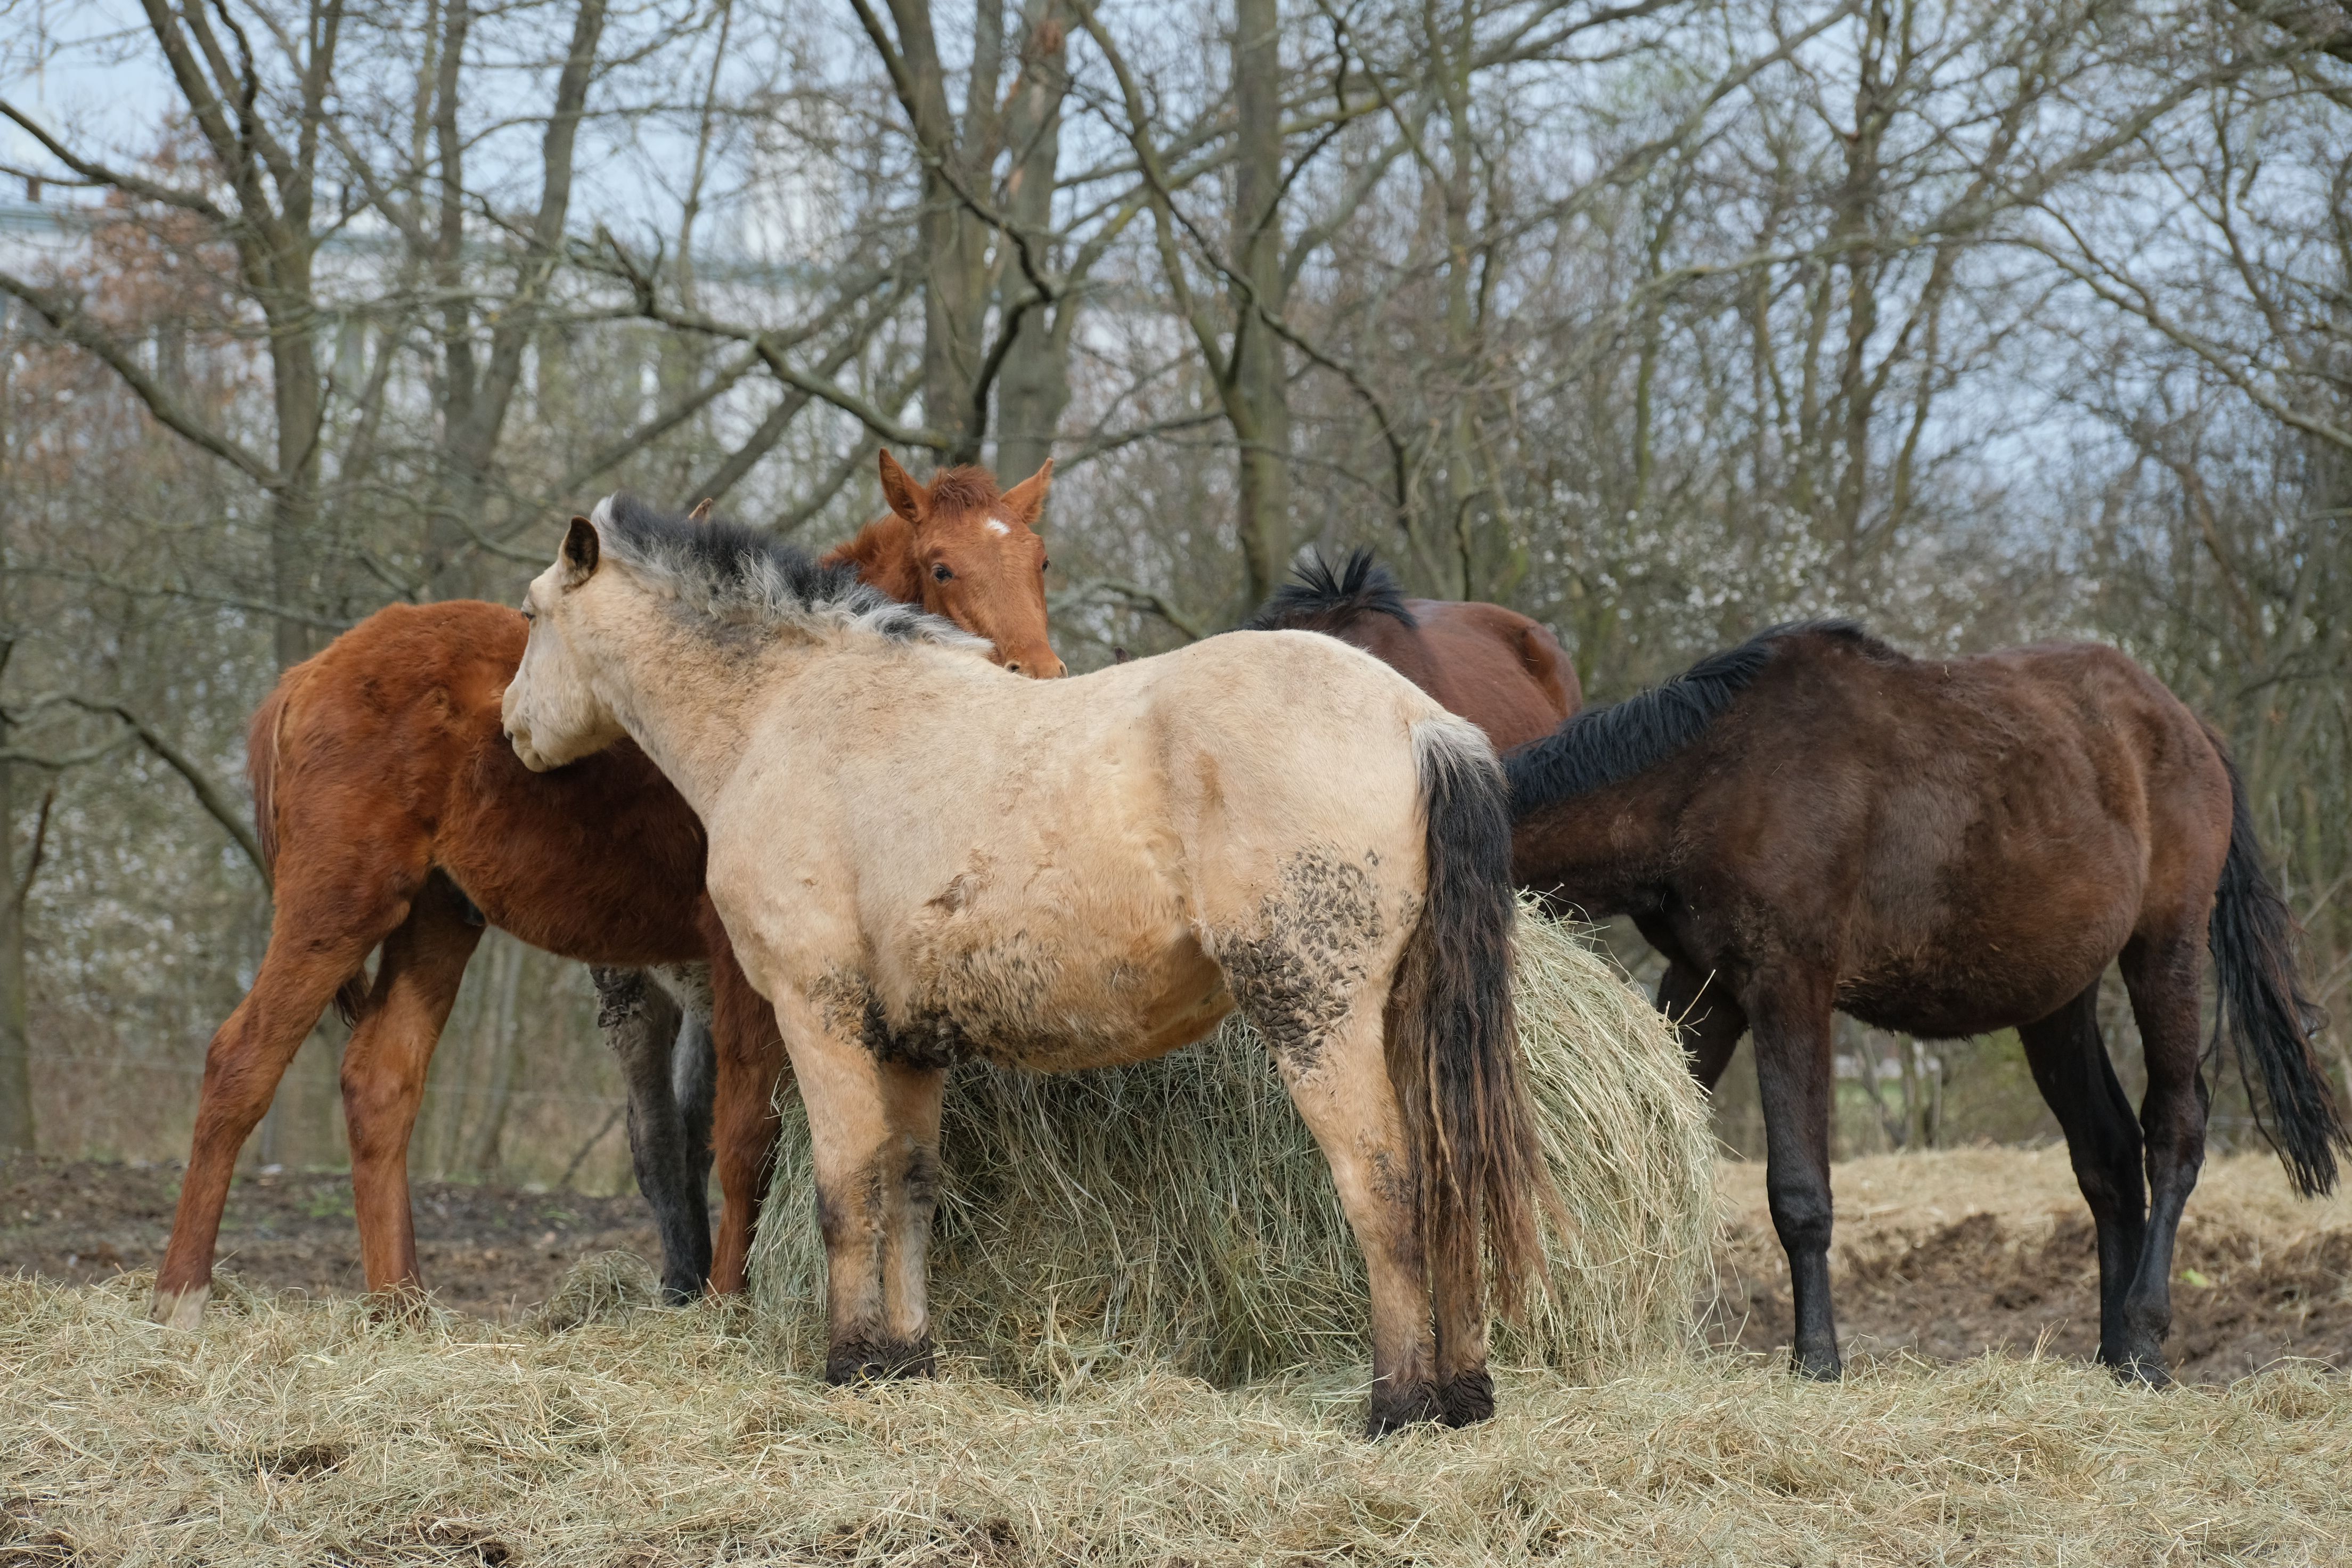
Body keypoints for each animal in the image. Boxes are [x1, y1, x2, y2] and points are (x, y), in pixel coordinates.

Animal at [150, 454, 1060, 1328]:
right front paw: (725, 1308)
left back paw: (401, 1310)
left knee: (380, 1084)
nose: (1039, 675)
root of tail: (310, 672)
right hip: (339, 906)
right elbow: (741, 1141)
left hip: (439, 919)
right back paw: (182, 1298)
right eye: (942, 567)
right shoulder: (738, 969)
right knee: (240, 1064)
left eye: (1040, 560)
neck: (778, 700)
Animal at [1504, 618, 2347, 1382]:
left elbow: (1800, 1192)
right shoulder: (1705, 984)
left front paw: (1817, 1361)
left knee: (2174, 1130)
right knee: (2107, 1154)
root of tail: (2185, 723)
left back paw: (2143, 1341)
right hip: (2057, 999)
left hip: (2164, 950)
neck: (1713, 776)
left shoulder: (1789, 986)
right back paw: (2111, 1351)